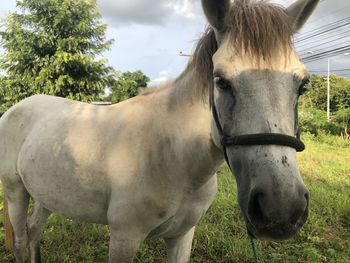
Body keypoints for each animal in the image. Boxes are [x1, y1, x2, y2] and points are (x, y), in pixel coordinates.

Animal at [0, 0, 320, 262]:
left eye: (303, 85)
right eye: (220, 80)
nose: (281, 210)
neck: (172, 156)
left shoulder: (182, 236)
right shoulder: (124, 238)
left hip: (46, 194)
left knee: (34, 232)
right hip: (16, 191)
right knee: (21, 242)